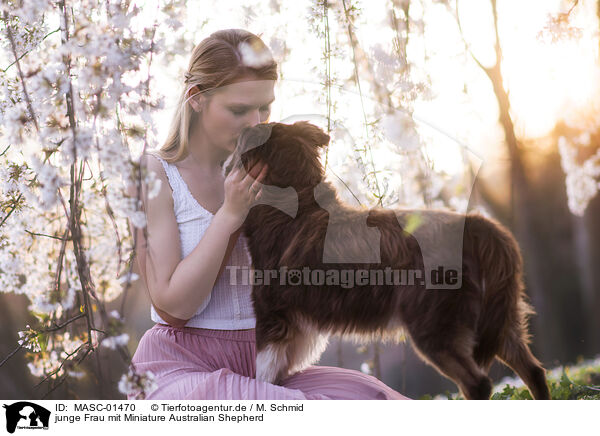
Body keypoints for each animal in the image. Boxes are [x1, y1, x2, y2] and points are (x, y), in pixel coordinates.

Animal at [224, 121, 548, 400]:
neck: (295, 206)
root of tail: (476, 225)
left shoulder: (272, 319)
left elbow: (264, 376)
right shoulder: (296, 328)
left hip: (434, 327)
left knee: (477, 384)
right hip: (498, 319)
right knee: (534, 370)